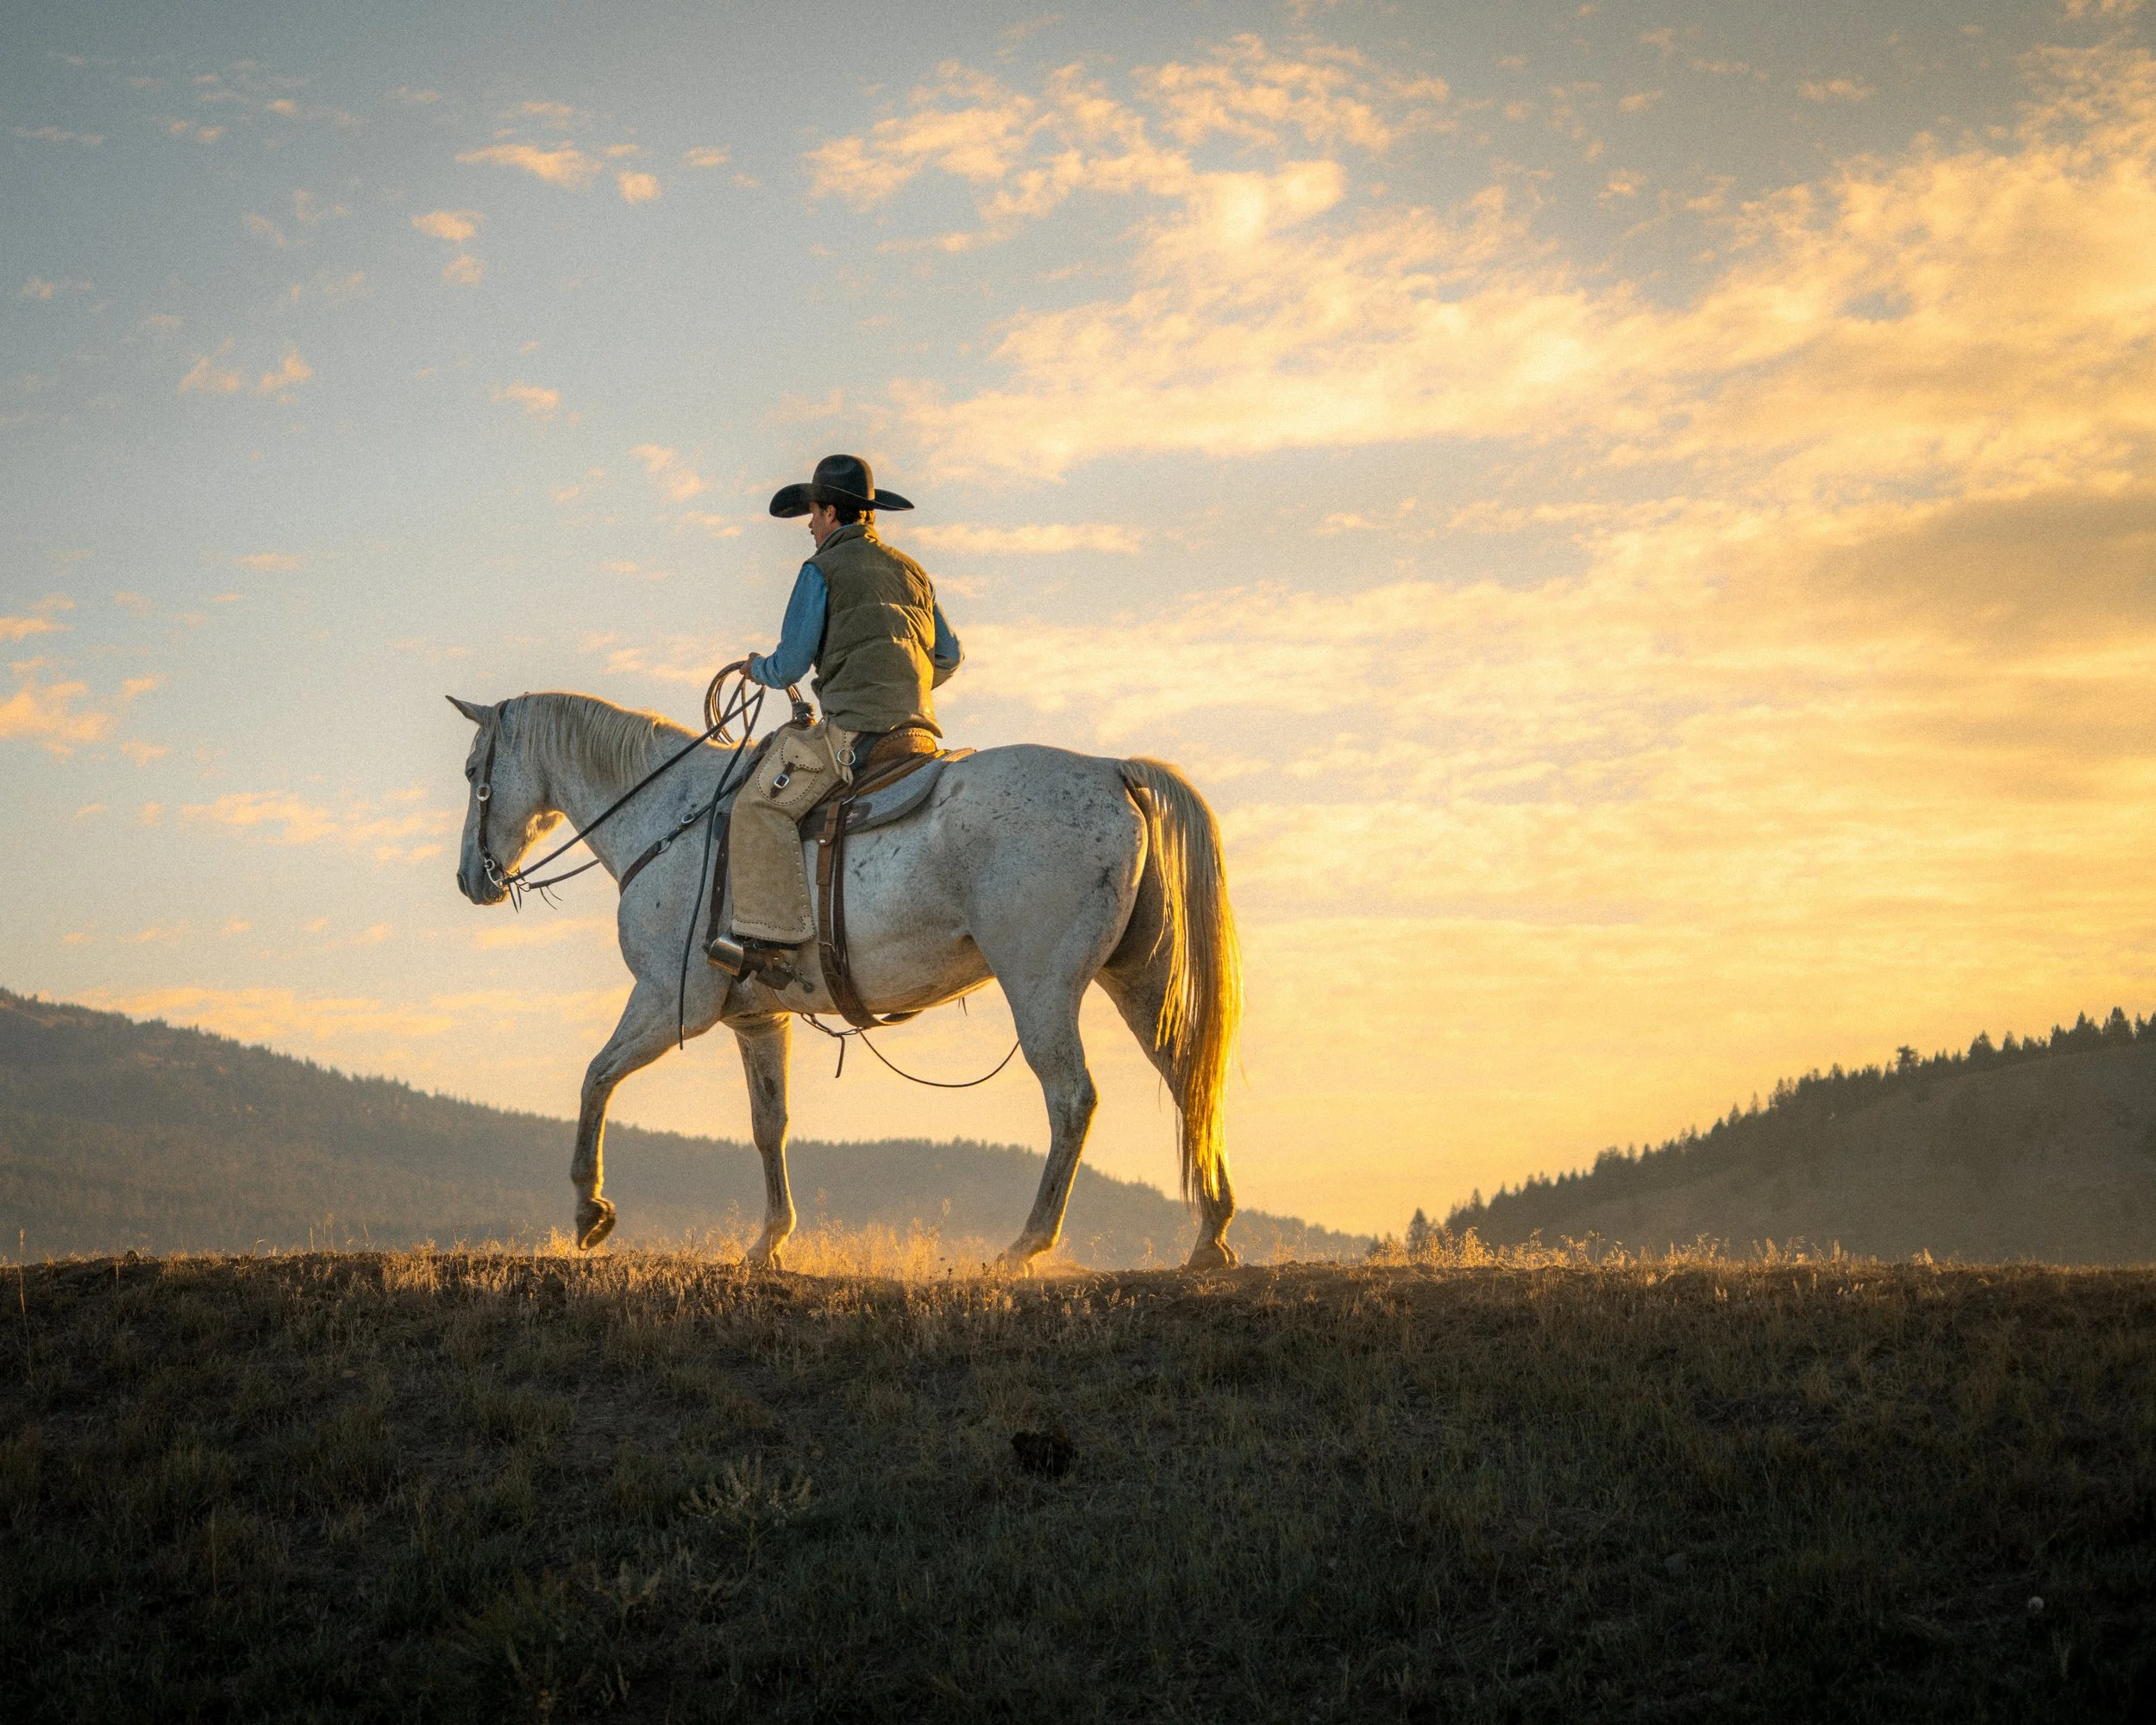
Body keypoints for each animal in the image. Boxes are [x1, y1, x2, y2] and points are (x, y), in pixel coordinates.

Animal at [447, 691, 1242, 1270]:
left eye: (472, 774)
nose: (469, 880)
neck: (670, 818)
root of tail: (1113, 769)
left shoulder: (670, 1002)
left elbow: (596, 1077)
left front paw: (590, 1209)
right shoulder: (754, 1019)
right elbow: (768, 1125)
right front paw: (769, 1240)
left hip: (1040, 987)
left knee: (1072, 1098)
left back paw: (1026, 1245)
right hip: (1138, 979)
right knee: (1188, 1082)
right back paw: (1210, 1237)